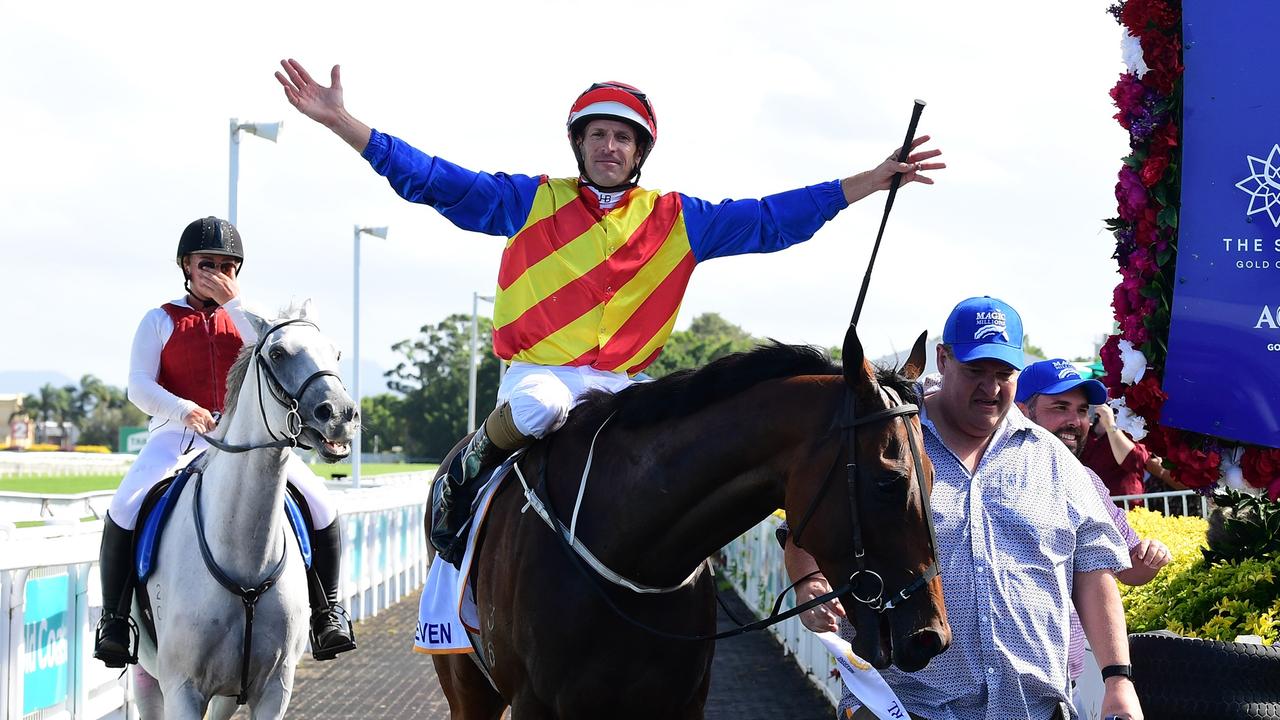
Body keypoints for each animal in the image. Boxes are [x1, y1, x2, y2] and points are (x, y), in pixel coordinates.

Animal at [435, 324, 947, 712]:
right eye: (889, 481)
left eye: (933, 474)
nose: (931, 636)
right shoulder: (534, 703)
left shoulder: (680, 702)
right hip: (465, 682)